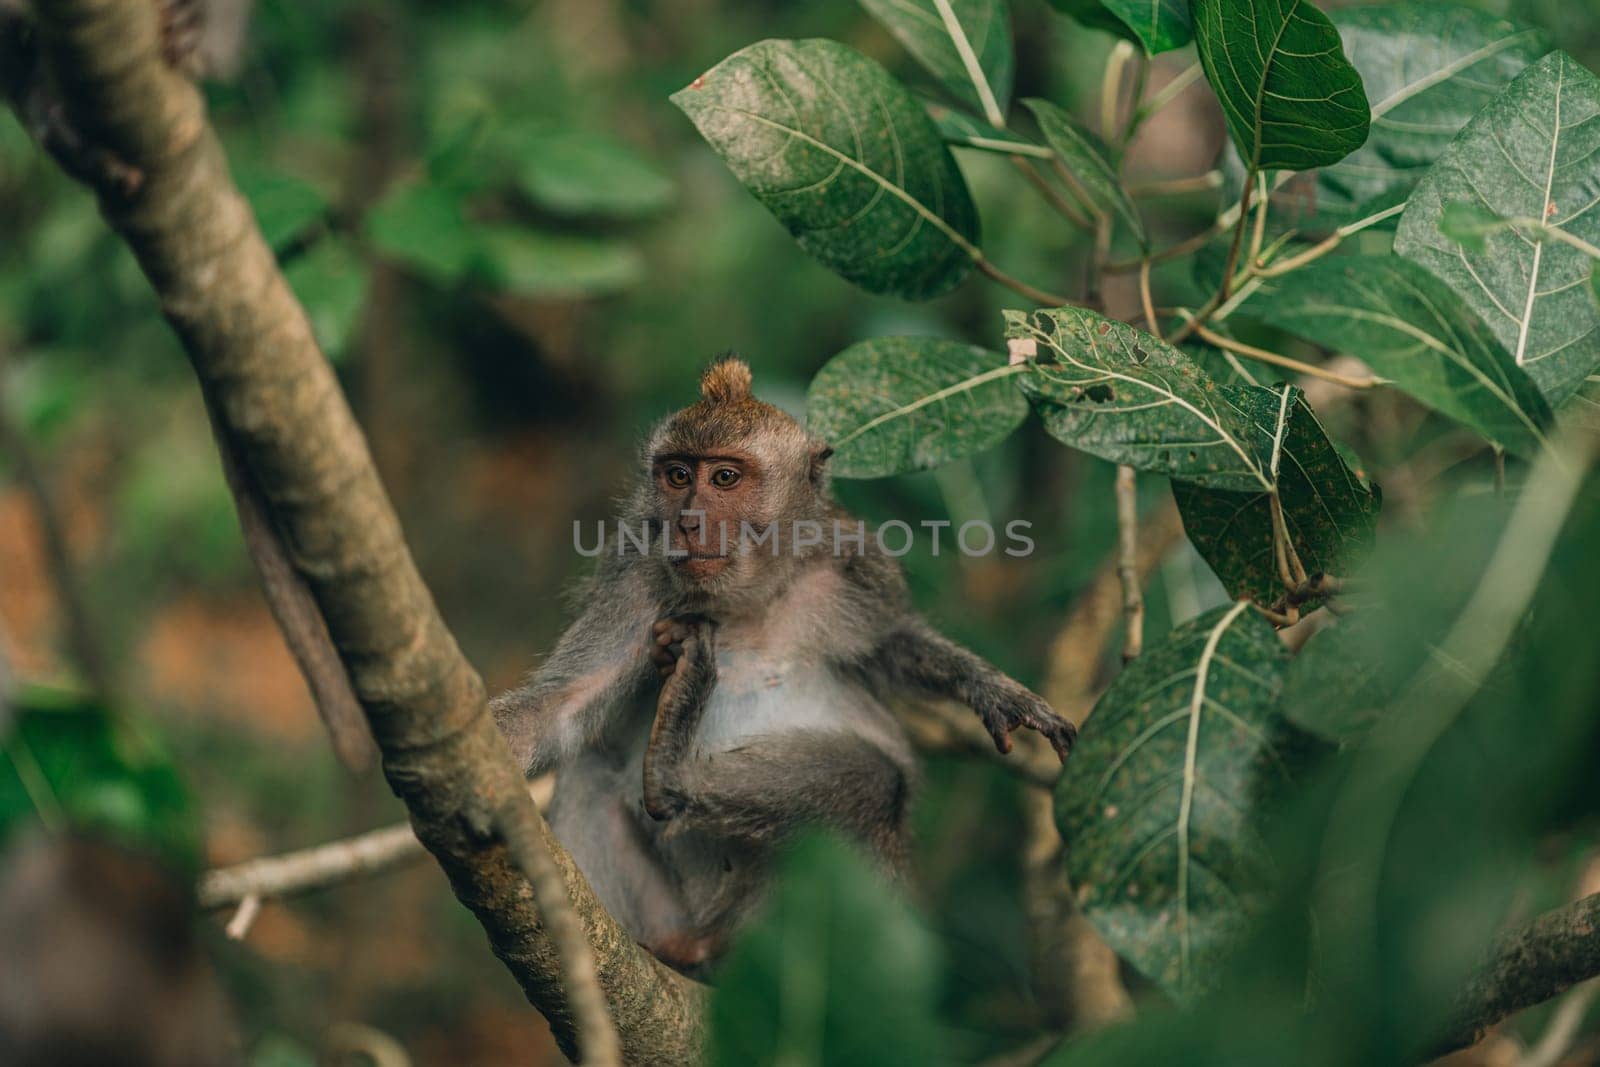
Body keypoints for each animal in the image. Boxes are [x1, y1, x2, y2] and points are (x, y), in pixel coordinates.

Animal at [492, 358, 1081, 979]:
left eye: (725, 479)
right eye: (677, 476)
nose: (688, 522)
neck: (747, 600)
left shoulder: (851, 563)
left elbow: (896, 642)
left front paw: (993, 691)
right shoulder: (635, 580)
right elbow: (566, 701)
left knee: (878, 784)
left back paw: (673, 774)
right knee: (590, 774)